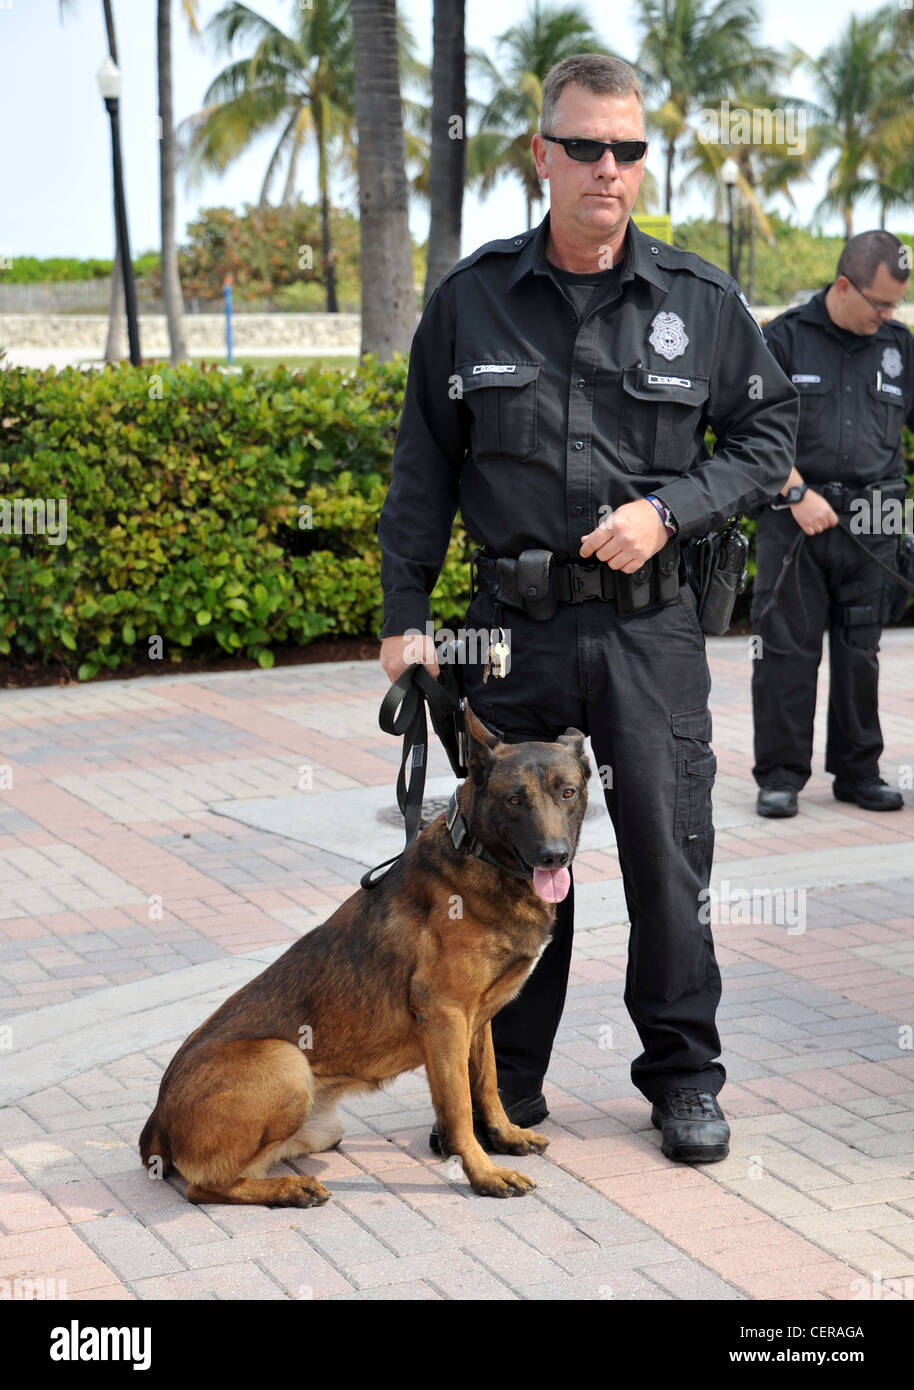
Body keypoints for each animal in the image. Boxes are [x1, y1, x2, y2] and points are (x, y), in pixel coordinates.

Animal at [138, 706, 586, 1206]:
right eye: (513, 800)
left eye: (567, 793)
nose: (553, 857)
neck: (480, 855)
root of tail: (156, 1124)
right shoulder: (445, 1014)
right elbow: (457, 1108)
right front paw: (482, 1172)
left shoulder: (477, 1019)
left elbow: (486, 1083)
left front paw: (505, 1136)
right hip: (286, 1062)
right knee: (203, 1186)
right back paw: (289, 1189)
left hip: (321, 1126)